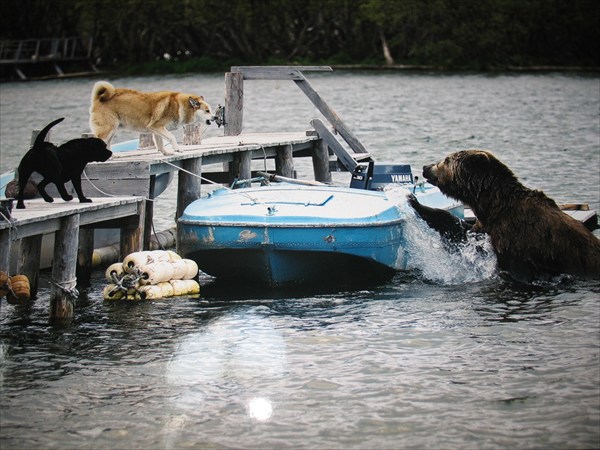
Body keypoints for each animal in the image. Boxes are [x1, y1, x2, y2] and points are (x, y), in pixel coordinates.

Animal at [420, 149, 596, 280]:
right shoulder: (485, 226)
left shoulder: (515, 239)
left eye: (446, 160)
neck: (494, 206)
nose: (425, 167)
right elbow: (459, 231)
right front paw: (417, 203)